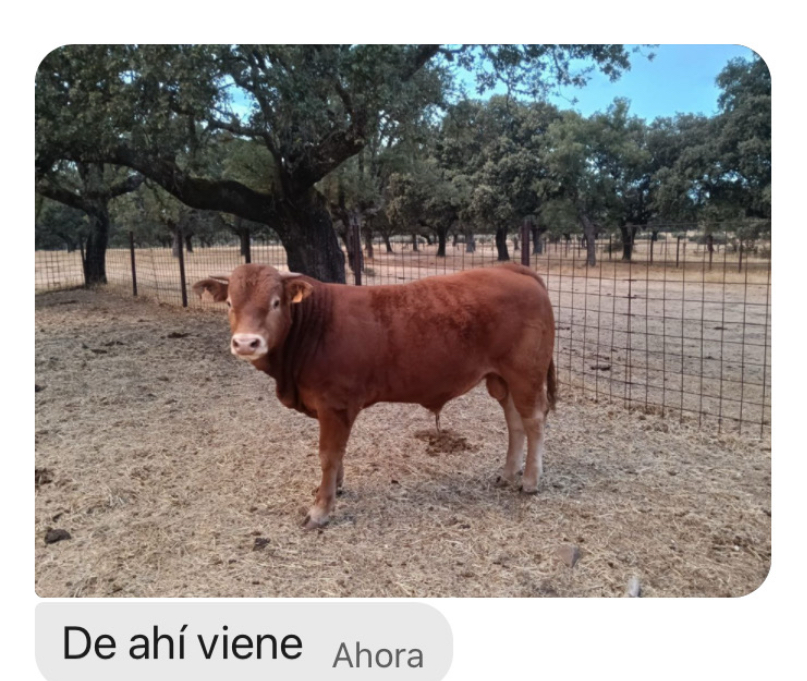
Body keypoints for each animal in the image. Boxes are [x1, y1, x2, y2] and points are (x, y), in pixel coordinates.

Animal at [193, 263, 556, 529]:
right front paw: (334, 488)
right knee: (514, 422)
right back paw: (507, 473)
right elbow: (337, 455)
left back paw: (529, 480)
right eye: (230, 303)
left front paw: (320, 510)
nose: (246, 343)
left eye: (276, 302)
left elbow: (328, 455)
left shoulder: (335, 404)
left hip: (525, 374)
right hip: (500, 379)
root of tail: (510, 269)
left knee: (533, 421)